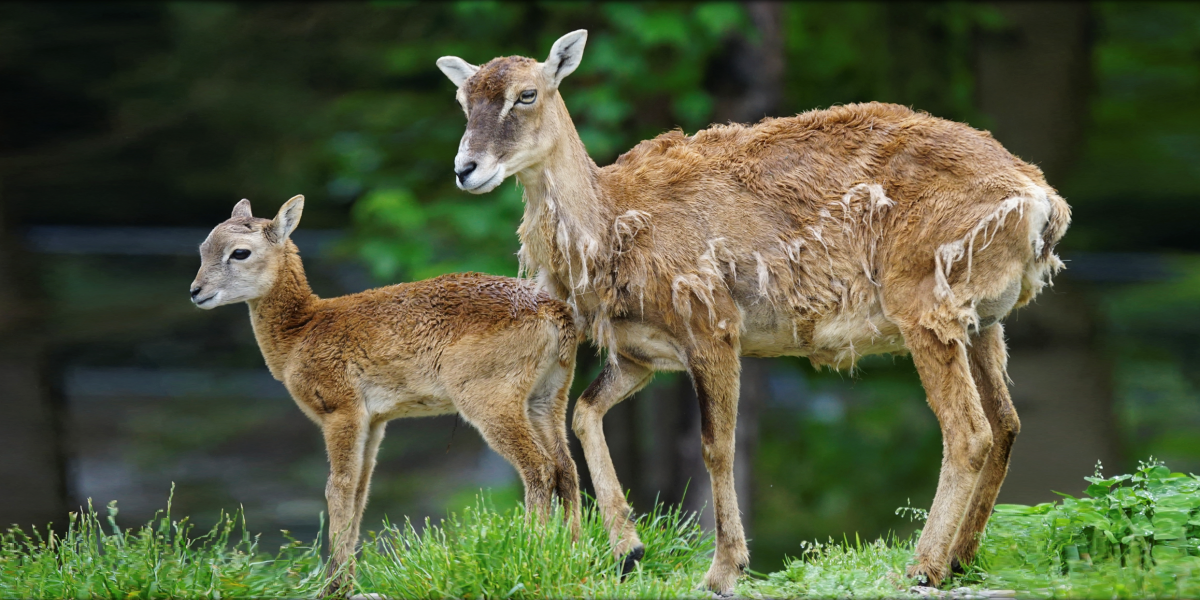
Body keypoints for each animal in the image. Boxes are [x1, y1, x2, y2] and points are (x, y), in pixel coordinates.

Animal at [188, 196, 580, 595]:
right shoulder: (376, 419)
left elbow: (338, 487)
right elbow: (362, 489)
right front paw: (346, 579)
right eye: (203, 248)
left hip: (489, 395)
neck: (299, 334)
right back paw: (574, 554)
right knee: (566, 466)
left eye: (240, 252)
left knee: (539, 466)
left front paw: (334, 585)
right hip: (549, 395)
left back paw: (533, 552)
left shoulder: (340, 407)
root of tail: (556, 313)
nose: (196, 291)